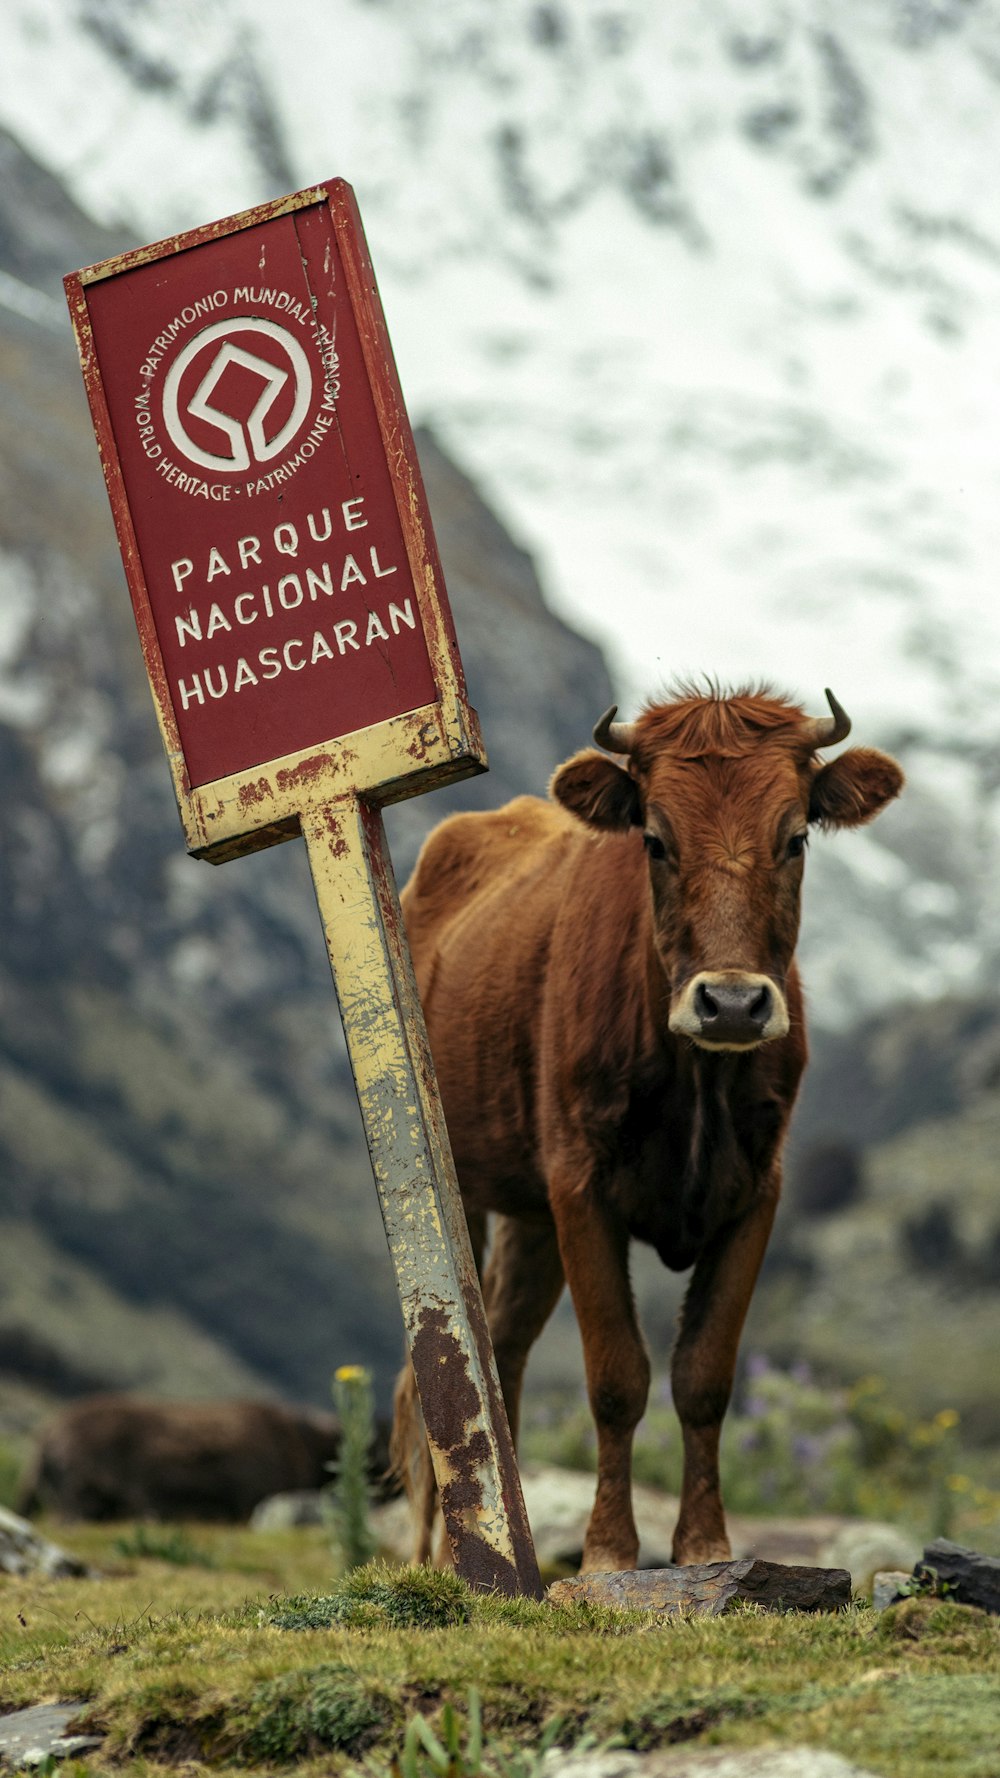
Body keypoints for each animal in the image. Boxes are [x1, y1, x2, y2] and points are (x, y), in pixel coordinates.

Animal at [391, 682, 903, 1571]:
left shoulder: (756, 1192)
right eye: (656, 840)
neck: (697, 1077)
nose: (731, 1003)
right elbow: (617, 1378)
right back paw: (441, 1556)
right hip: (458, 1184)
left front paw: (703, 1545)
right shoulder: (581, 1187)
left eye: (796, 836)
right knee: (450, 1358)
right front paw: (606, 1551)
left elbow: (703, 1376)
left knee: (505, 1346)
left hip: (530, 1213)